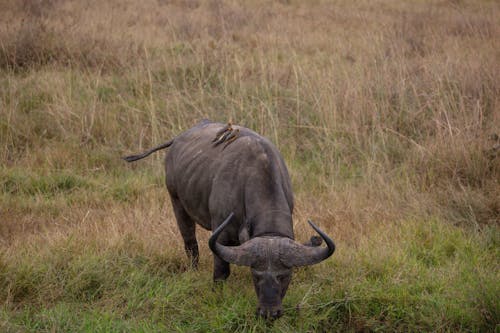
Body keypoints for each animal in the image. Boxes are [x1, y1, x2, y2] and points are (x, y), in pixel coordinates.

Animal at [123, 120, 336, 320]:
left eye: (285, 276)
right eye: (256, 276)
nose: (269, 313)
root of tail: (177, 140)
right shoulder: (221, 235)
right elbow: (221, 272)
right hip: (176, 201)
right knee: (190, 243)